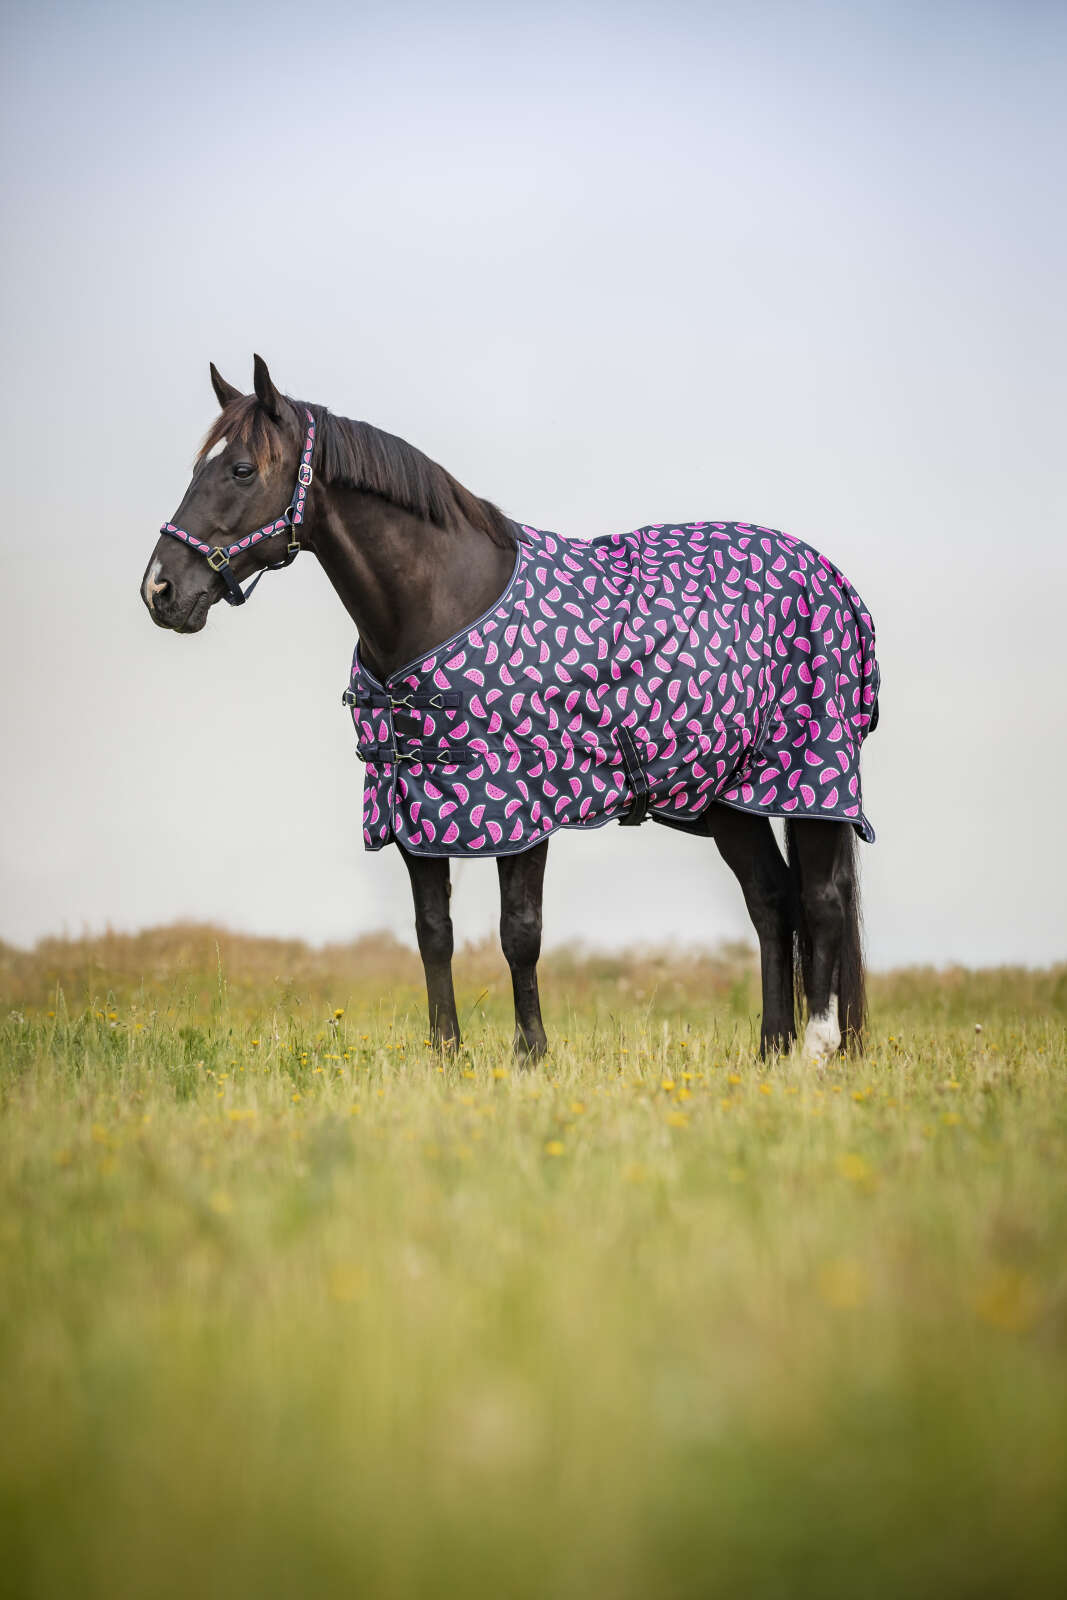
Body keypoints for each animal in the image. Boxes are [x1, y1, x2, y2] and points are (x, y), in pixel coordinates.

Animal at [141, 357, 880, 1062]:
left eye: (240, 469)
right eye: (200, 468)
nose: (160, 589)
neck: (441, 602)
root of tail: (830, 579)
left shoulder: (522, 805)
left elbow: (518, 933)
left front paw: (529, 1054)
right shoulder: (411, 804)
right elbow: (432, 933)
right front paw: (446, 1055)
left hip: (810, 779)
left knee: (820, 902)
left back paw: (815, 1051)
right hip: (732, 796)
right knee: (771, 901)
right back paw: (770, 1050)